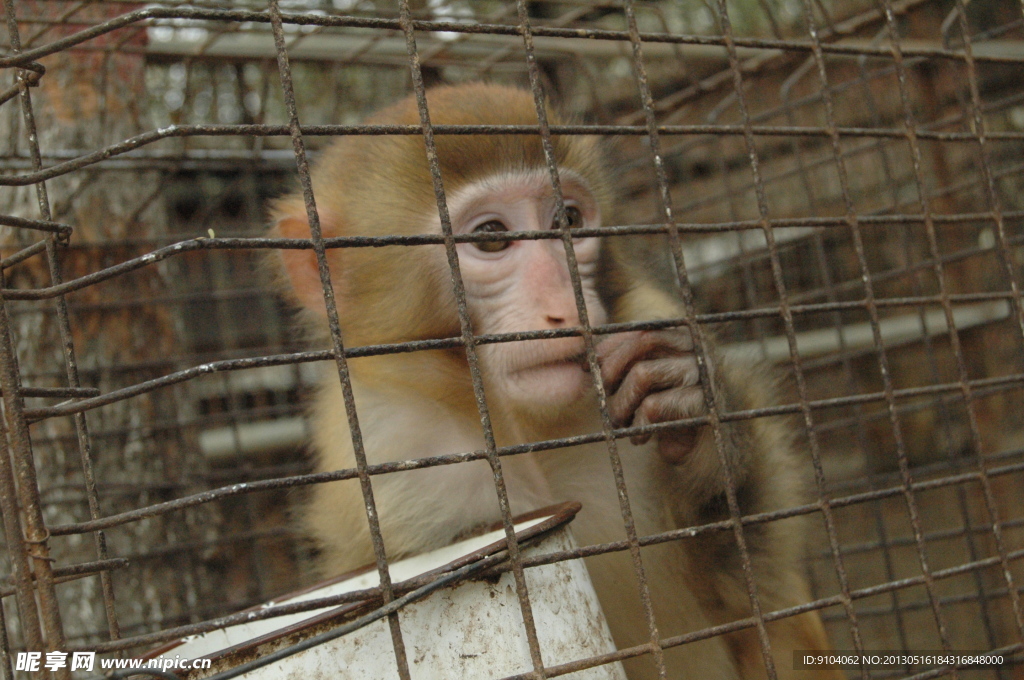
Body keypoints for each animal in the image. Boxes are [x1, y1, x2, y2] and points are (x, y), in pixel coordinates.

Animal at [268, 82, 835, 675]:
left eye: (567, 219)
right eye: (492, 237)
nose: (567, 305)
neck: (526, 435)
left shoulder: (648, 314)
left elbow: (756, 596)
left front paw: (696, 408)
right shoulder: (394, 465)